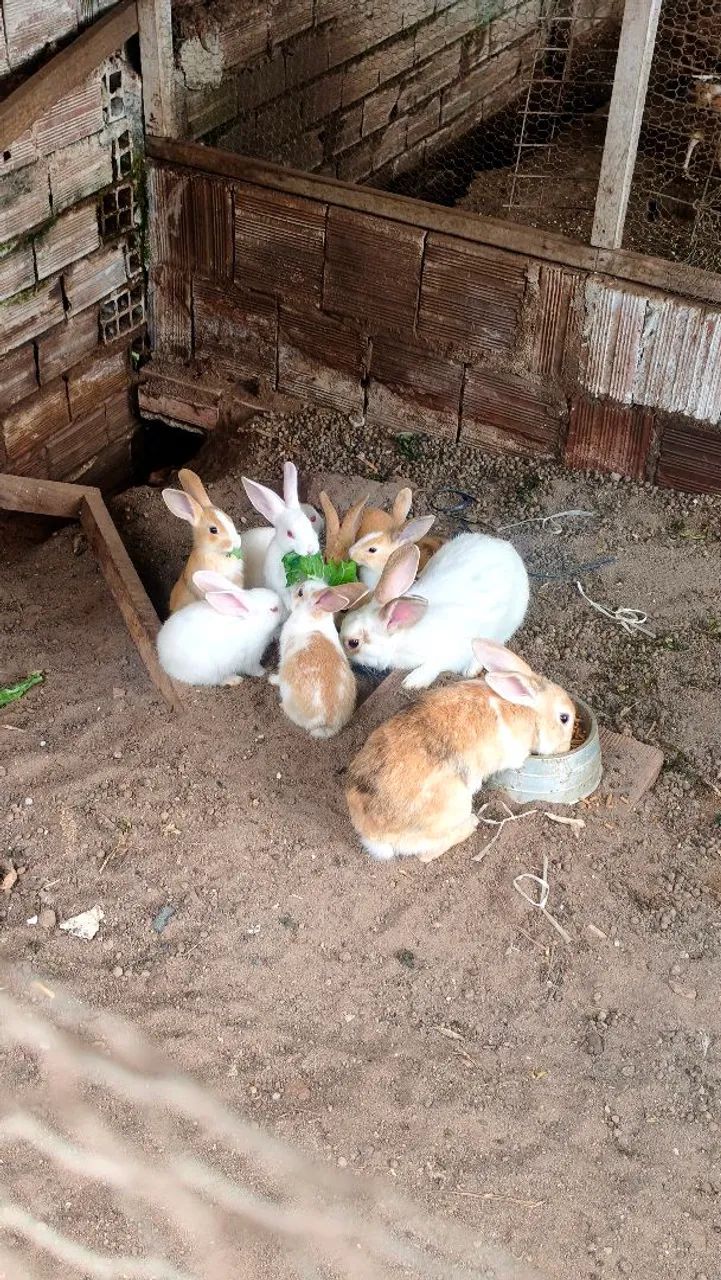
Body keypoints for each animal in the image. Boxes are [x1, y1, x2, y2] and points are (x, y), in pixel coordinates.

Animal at [269, 578, 369, 738]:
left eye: (300, 592)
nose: (294, 587)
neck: (313, 615)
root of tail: (326, 723)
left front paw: (271, 679)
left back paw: (282, 705)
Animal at [339, 533, 530, 691]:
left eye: (353, 643)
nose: (341, 652)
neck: (402, 636)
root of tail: (506, 547)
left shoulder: (449, 653)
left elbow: (433, 665)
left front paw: (412, 682)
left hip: (506, 624)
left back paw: (470, 670)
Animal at [345, 639, 576, 863]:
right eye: (564, 718)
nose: (565, 747)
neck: (527, 710)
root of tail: (374, 836)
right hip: (457, 805)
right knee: (425, 855)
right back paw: (472, 823)